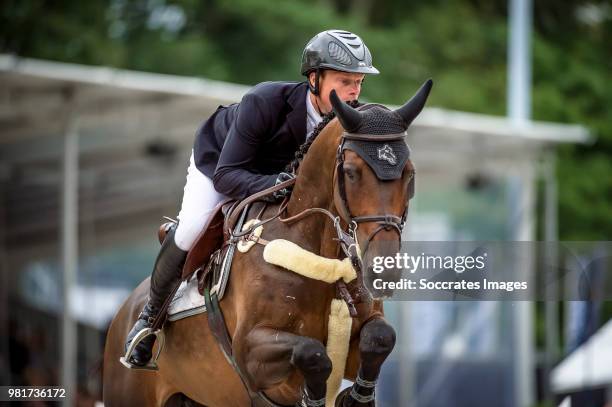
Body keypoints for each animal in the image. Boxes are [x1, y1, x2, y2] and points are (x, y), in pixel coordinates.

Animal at [103, 80, 432, 407]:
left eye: (410, 174)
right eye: (351, 173)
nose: (383, 271)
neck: (321, 257)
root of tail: (122, 313)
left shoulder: (360, 335)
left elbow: (380, 338)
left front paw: (356, 398)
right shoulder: (249, 352)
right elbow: (312, 354)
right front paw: (313, 397)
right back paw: (140, 337)